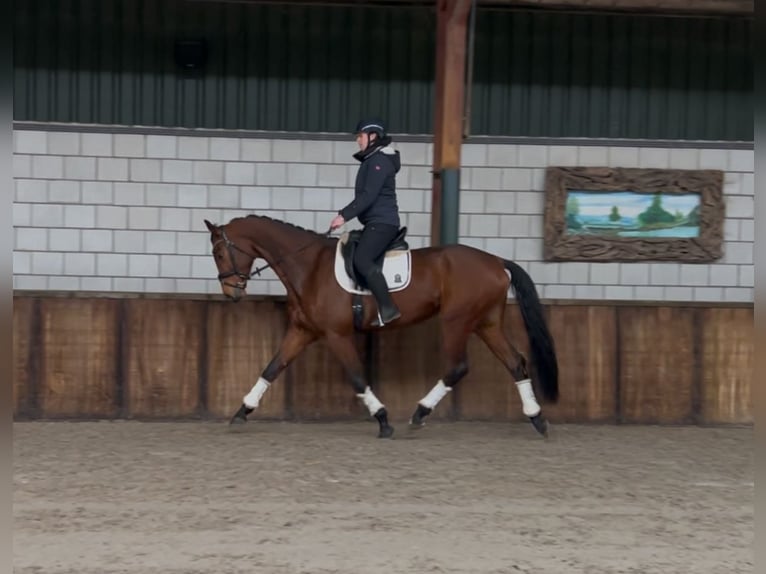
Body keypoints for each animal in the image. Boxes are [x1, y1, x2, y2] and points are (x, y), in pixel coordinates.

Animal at [206, 216, 560, 440]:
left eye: (220, 252)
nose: (231, 292)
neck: (309, 267)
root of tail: (497, 262)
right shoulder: (302, 332)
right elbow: (271, 368)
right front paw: (241, 413)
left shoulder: (337, 335)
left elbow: (357, 377)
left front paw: (383, 419)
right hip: (486, 323)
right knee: (515, 362)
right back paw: (537, 418)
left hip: (456, 321)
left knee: (458, 367)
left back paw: (419, 414)